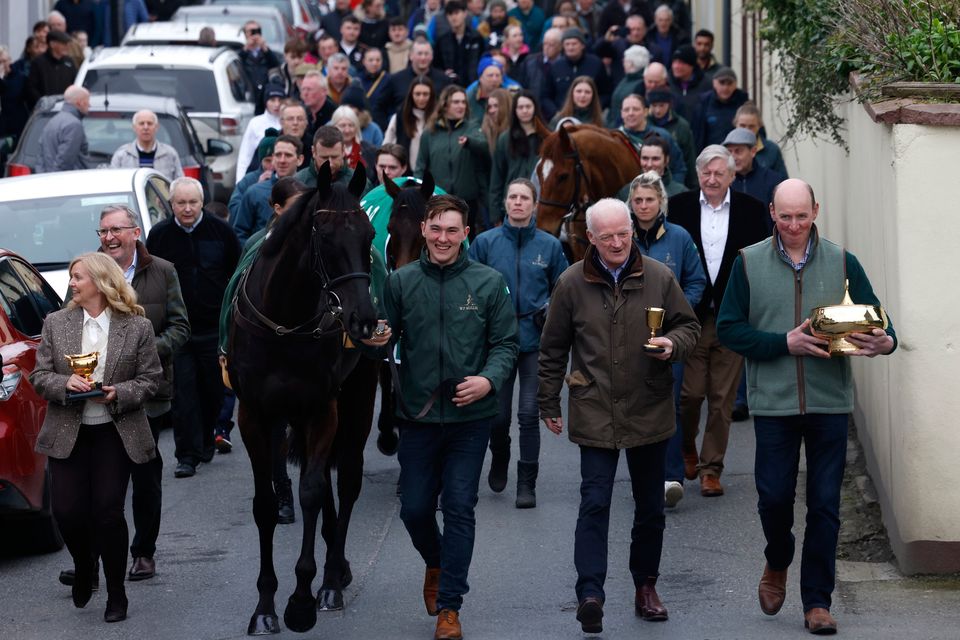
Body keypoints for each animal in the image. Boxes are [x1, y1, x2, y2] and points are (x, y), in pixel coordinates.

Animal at [227, 162, 376, 632]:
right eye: (324, 237)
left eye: (368, 236)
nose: (364, 319)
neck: (285, 322)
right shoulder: (255, 414)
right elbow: (265, 504)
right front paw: (265, 606)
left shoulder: (321, 408)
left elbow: (312, 491)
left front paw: (302, 598)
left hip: (357, 398)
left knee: (345, 480)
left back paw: (332, 578)